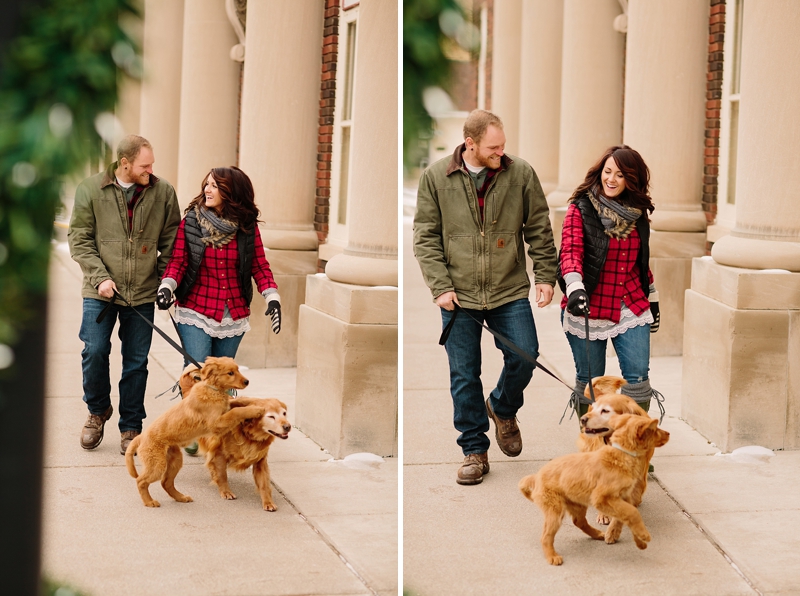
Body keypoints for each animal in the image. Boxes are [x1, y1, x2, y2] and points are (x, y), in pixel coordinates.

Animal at [123, 358, 264, 508]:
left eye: (238, 370)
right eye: (230, 373)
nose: (247, 382)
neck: (212, 389)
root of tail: (141, 437)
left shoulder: (224, 411)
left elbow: (237, 403)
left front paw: (255, 402)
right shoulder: (216, 423)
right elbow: (236, 412)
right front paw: (256, 410)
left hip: (175, 460)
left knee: (165, 482)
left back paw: (181, 497)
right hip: (157, 463)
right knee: (141, 481)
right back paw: (149, 502)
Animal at [520, 412, 672, 564]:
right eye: (656, 429)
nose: (669, 433)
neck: (622, 454)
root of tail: (536, 477)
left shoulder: (624, 497)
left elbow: (627, 516)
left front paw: (640, 542)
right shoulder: (601, 498)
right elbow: (633, 513)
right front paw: (644, 535)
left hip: (577, 503)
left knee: (579, 522)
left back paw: (597, 534)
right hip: (555, 510)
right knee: (546, 535)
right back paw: (552, 556)